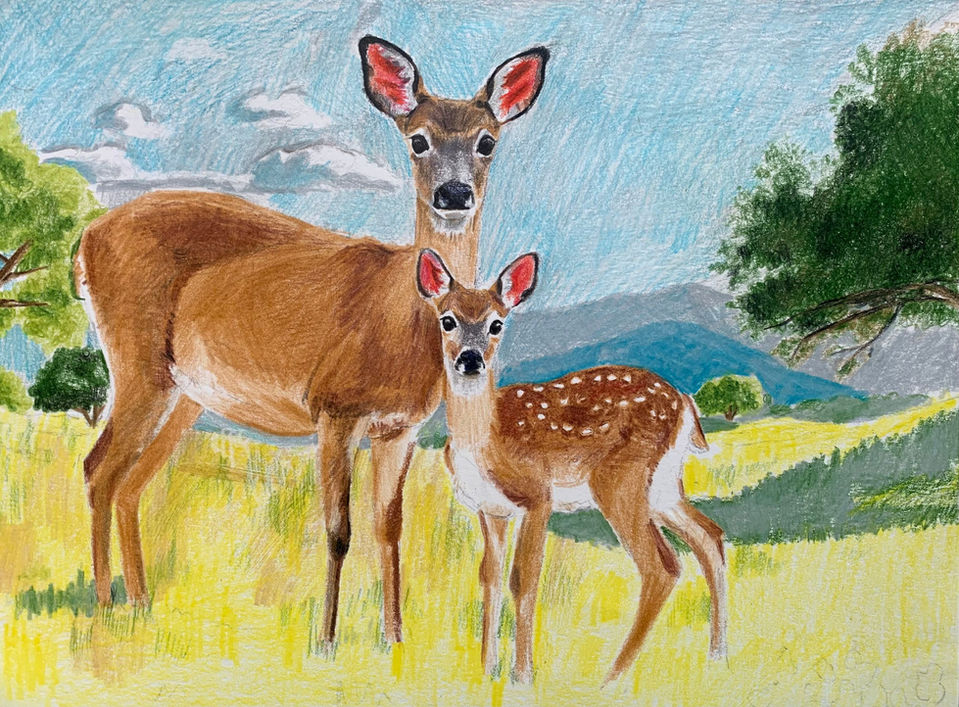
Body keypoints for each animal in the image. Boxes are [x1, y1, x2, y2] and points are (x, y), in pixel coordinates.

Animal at [73, 36, 549, 648]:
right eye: (417, 139)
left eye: (487, 141)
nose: (453, 192)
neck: (401, 322)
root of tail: (86, 241)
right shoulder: (335, 407)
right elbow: (338, 529)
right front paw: (325, 640)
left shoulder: (400, 428)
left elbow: (389, 527)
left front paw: (394, 638)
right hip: (136, 357)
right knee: (98, 467)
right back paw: (106, 603)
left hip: (187, 393)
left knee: (130, 481)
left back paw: (139, 601)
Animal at [415, 248, 728, 684]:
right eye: (448, 319)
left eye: (497, 324)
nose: (471, 359)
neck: (485, 441)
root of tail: (685, 403)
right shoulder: (490, 509)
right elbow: (488, 577)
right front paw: (485, 670)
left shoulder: (537, 495)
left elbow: (523, 578)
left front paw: (522, 677)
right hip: (663, 486)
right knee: (710, 536)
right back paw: (717, 655)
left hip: (621, 479)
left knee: (662, 565)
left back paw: (612, 676)